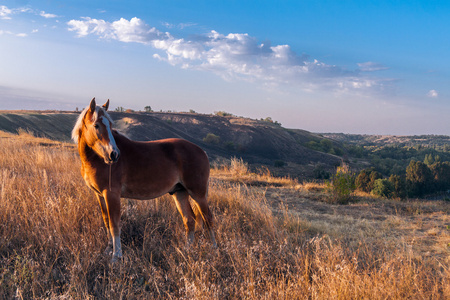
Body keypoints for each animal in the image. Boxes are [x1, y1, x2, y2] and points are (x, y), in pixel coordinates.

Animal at [71, 98, 216, 260]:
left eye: (110, 126)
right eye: (96, 125)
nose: (114, 154)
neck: (97, 159)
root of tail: (201, 151)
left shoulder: (111, 194)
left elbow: (115, 224)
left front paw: (116, 256)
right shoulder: (99, 195)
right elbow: (107, 221)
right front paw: (108, 250)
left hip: (198, 194)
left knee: (208, 219)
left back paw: (214, 249)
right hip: (180, 193)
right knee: (189, 220)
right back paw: (187, 250)